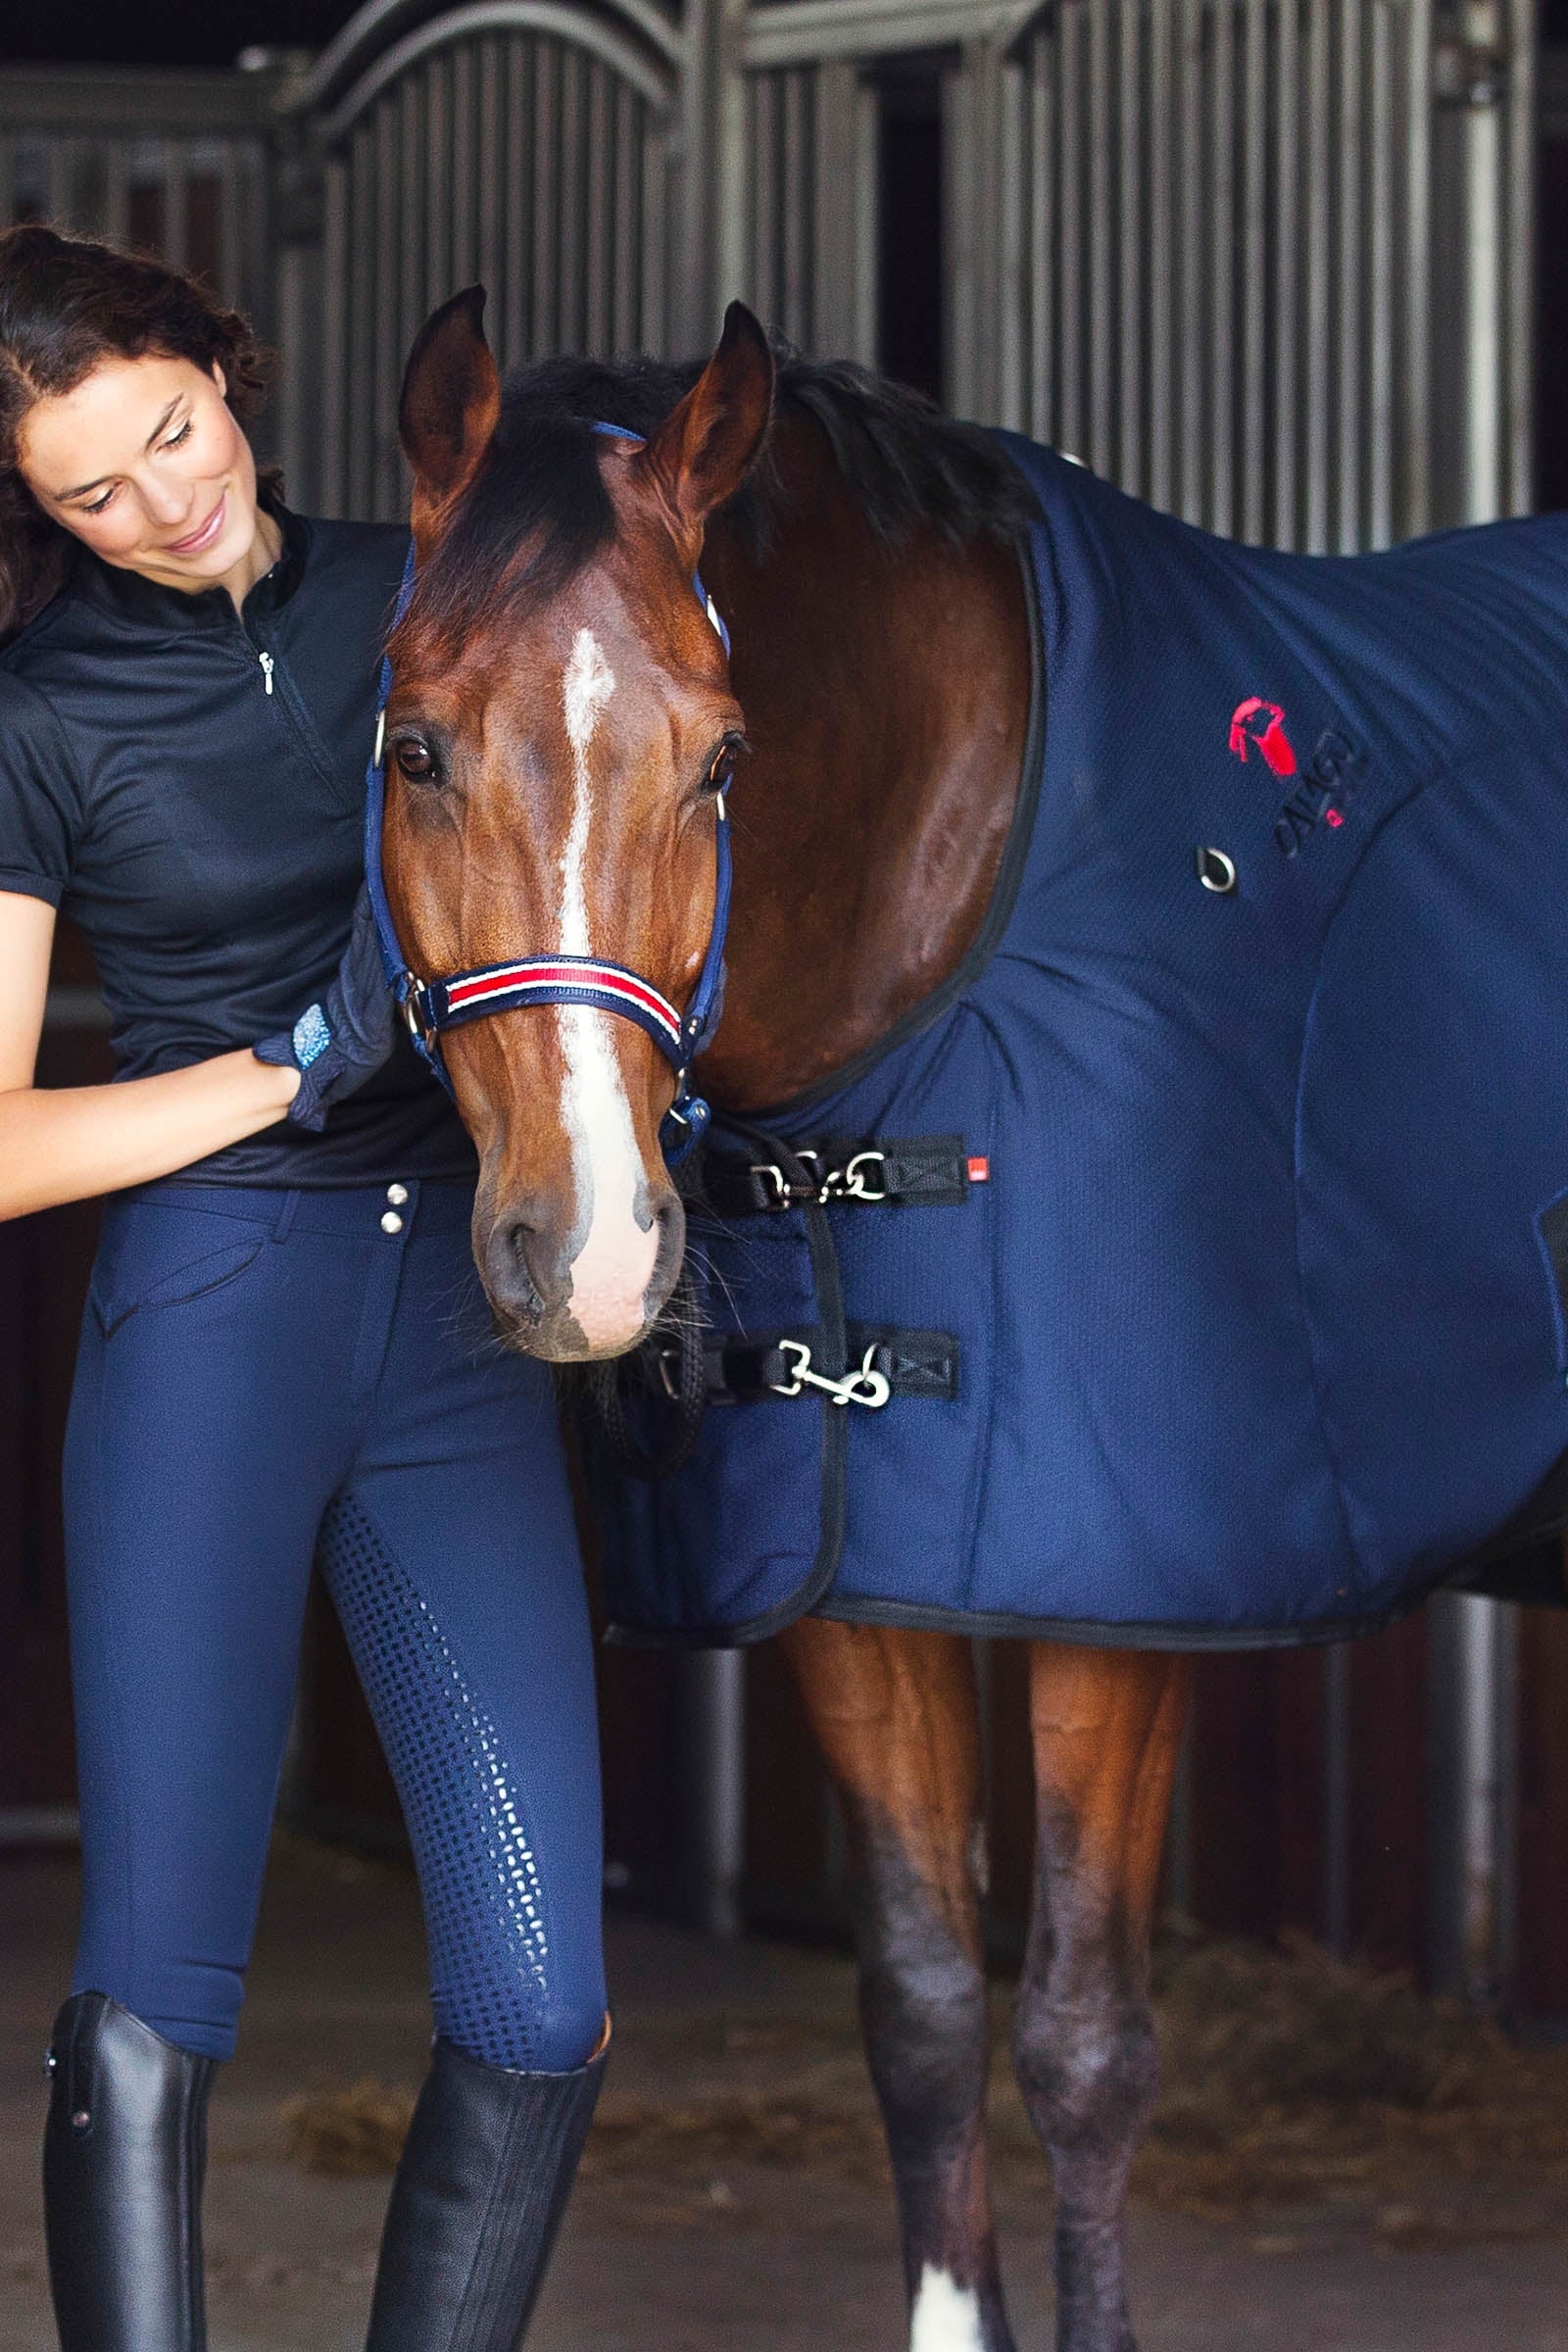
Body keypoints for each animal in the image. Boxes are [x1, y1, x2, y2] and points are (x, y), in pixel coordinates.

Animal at [373, 287, 1568, 2351]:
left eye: (724, 758)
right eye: (421, 747)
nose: (590, 1249)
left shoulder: (1117, 1607)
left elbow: (1081, 2040)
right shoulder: (863, 1585)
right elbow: (925, 2013)